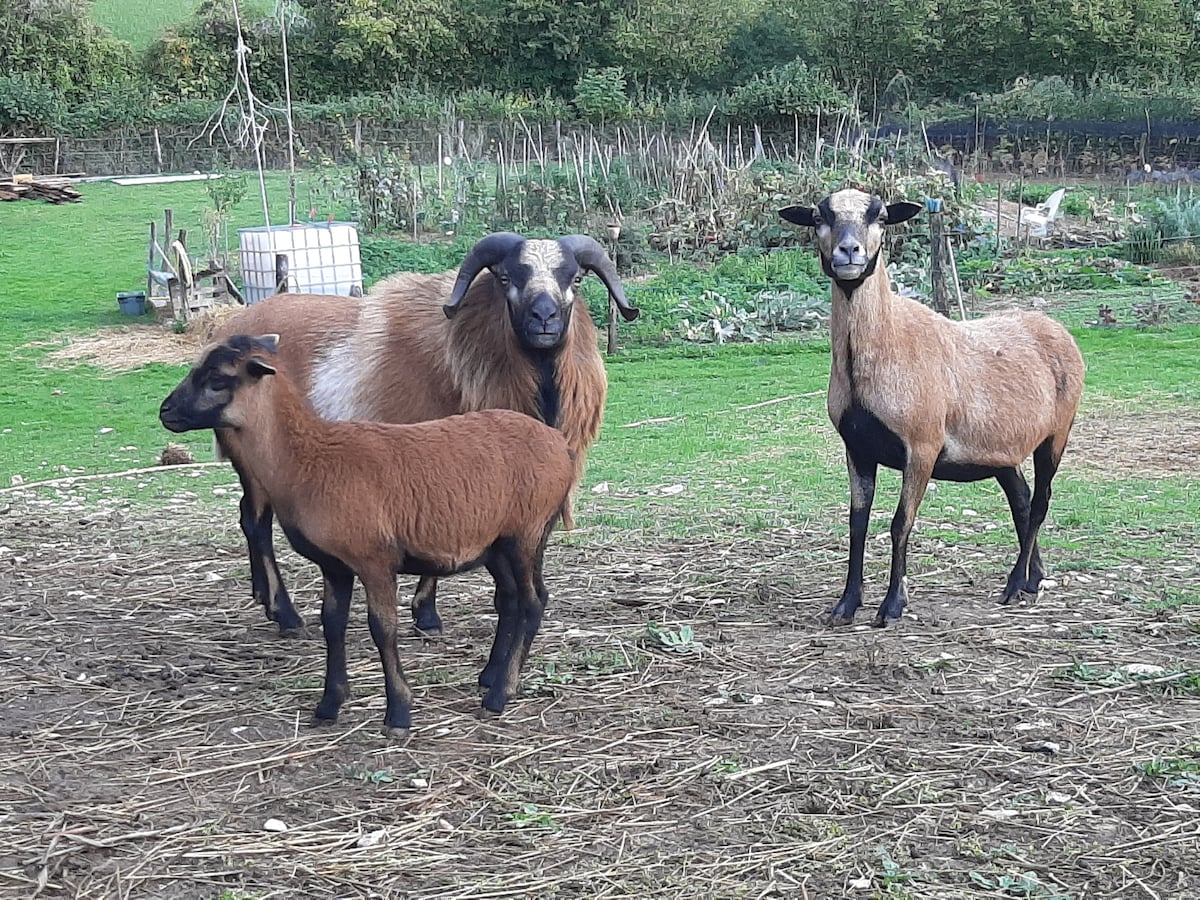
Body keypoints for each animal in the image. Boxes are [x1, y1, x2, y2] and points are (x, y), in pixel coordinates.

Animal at [158, 336, 571, 739]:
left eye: (218, 379)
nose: (165, 411)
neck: (307, 459)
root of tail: (558, 442)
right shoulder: (334, 566)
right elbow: (332, 623)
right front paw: (329, 705)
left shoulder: (375, 559)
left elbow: (382, 629)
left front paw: (398, 713)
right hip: (496, 543)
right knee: (511, 600)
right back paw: (489, 676)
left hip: (526, 533)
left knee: (533, 602)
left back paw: (500, 694)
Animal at [208, 234, 638, 643]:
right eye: (504, 278)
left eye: (576, 279)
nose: (543, 318)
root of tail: (229, 326)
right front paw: (427, 614)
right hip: (253, 454)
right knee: (256, 521)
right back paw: (285, 614)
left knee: (250, 516)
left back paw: (264, 597)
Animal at [782, 188, 1084, 628]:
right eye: (820, 217)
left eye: (880, 216)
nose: (849, 251)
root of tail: (1058, 328)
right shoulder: (857, 448)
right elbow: (857, 523)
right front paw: (846, 605)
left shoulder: (922, 446)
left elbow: (900, 523)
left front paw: (892, 605)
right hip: (1000, 449)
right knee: (1023, 501)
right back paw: (1033, 577)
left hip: (1058, 431)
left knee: (1041, 501)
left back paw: (1015, 585)